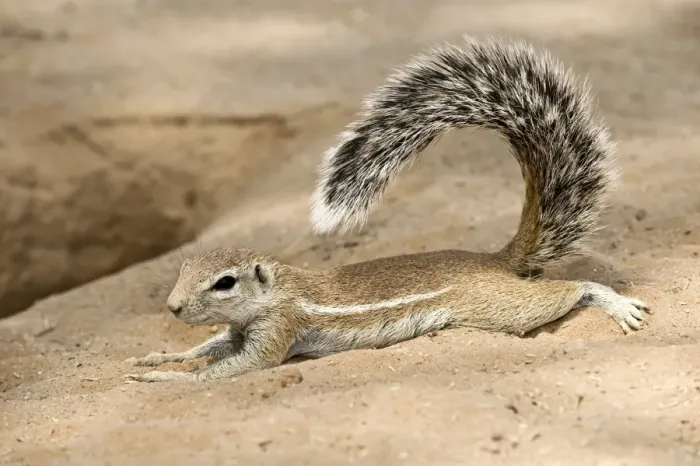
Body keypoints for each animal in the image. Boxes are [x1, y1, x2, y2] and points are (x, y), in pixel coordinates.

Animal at [126, 36, 650, 383]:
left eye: (225, 282)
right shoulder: (240, 332)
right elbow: (207, 347)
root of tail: (492, 259)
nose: (172, 307)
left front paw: (165, 379)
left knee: (570, 290)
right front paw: (158, 358)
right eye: (185, 267)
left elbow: (231, 368)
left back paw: (616, 303)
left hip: (499, 308)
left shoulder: (275, 333)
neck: (279, 289)